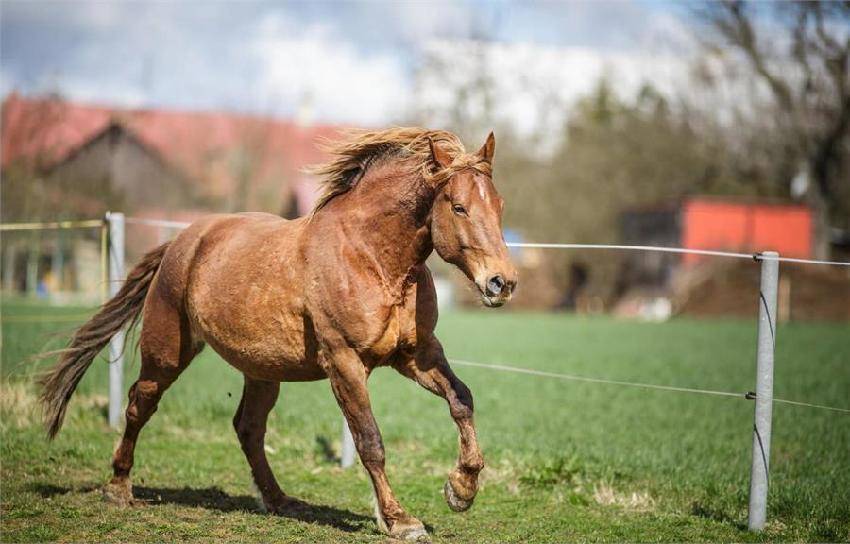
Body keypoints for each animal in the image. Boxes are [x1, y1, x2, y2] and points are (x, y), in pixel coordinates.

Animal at [38, 127, 516, 540]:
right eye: (458, 207)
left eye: (499, 206)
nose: (502, 283)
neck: (372, 258)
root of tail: (183, 241)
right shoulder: (345, 361)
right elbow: (370, 441)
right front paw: (400, 521)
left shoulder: (417, 354)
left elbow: (462, 400)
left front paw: (461, 490)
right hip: (166, 352)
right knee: (140, 405)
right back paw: (118, 488)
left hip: (262, 370)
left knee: (248, 427)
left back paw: (279, 500)